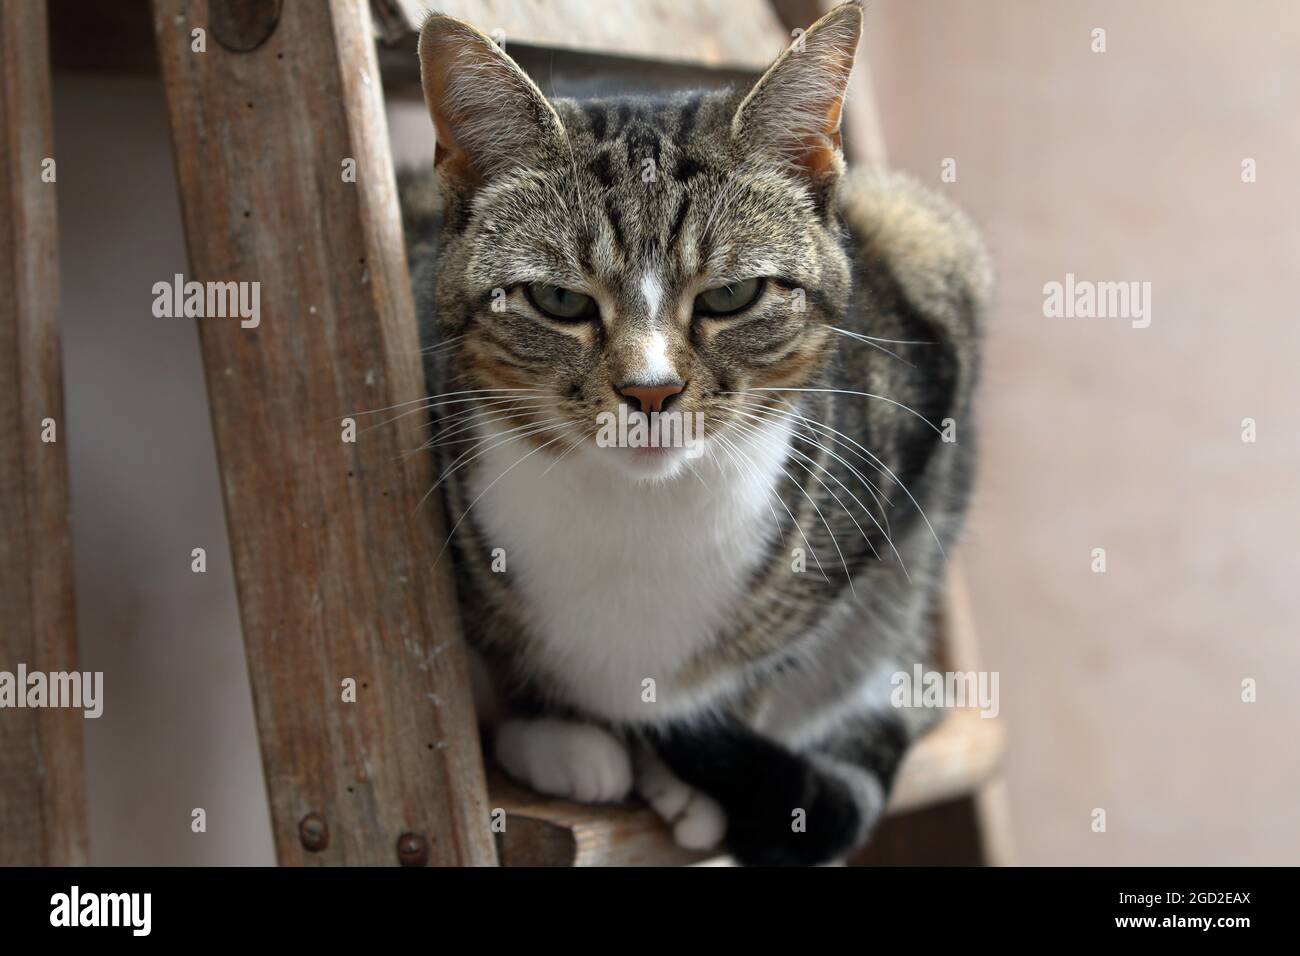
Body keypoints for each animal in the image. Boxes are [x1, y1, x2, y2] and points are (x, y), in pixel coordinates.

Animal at [395, 0, 982, 868]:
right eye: (558, 302)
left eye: (732, 296)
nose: (651, 390)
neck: (639, 515)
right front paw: (560, 734)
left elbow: (765, 669)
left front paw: (680, 762)